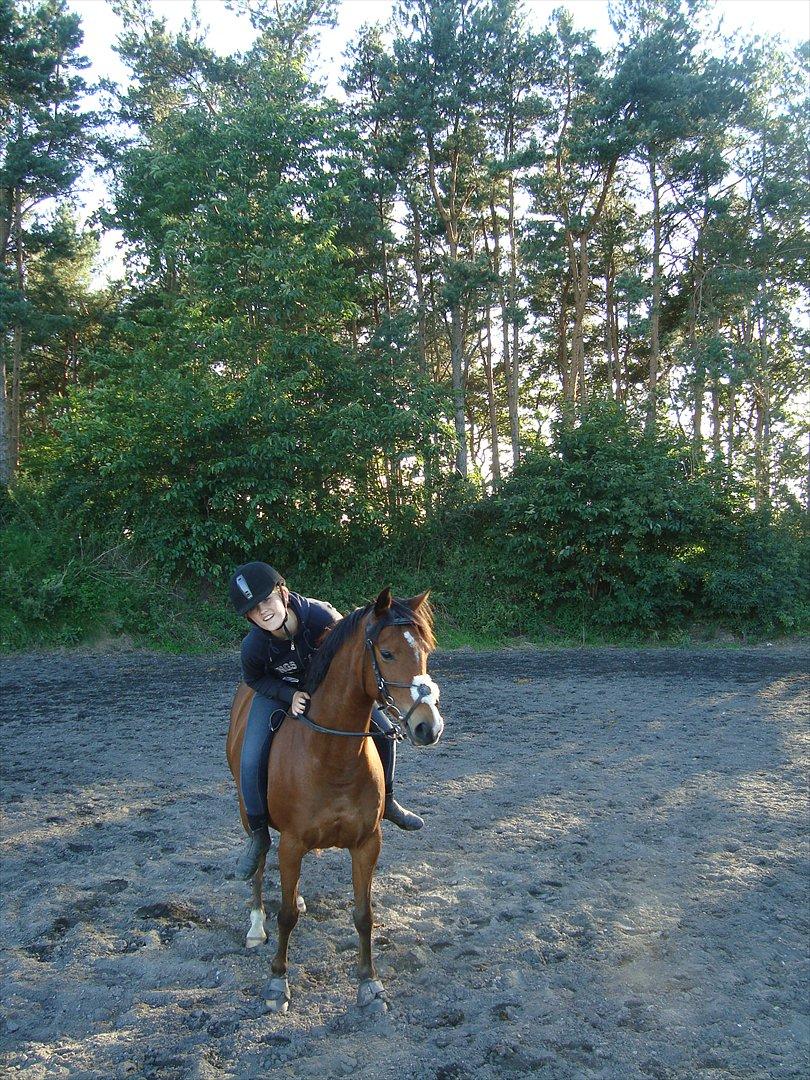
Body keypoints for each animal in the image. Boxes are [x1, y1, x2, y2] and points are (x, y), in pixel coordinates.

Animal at [225, 586, 444, 1015]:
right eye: (387, 653)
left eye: (425, 651)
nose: (429, 727)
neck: (329, 754)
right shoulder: (292, 843)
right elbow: (285, 916)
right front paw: (277, 983)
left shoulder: (366, 844)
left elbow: (363, 915)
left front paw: (369, 983)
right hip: (248, 813)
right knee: (259, 857)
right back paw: (256, 923)